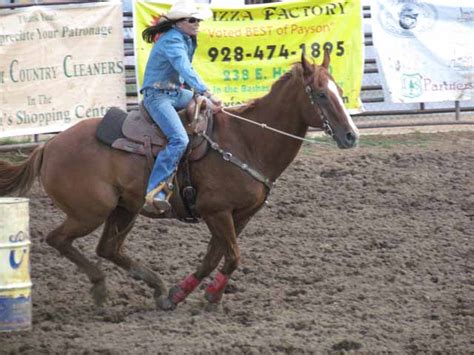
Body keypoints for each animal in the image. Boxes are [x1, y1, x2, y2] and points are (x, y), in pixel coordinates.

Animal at [0, 52, 358, 312]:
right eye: (321, 95)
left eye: (340, 92)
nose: (351, 136)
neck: (247, 141)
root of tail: (48, 146)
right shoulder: (216, 212)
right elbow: (232, 257)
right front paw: (207, 297)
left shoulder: (240, 215)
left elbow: (216, 257)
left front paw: (183, 295)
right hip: (90, 212)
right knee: (58, 240)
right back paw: (101, 290)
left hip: (124, 209)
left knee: (108, 248)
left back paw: (155, 287)